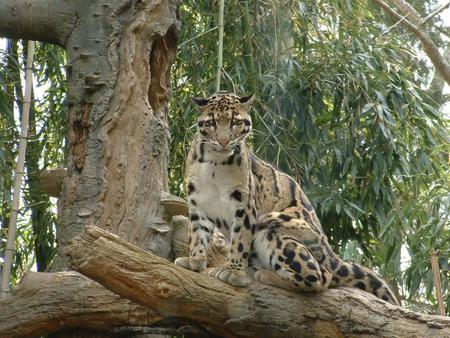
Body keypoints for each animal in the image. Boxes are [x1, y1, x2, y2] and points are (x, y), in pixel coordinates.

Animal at [174, 91, 400, 304]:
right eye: (211, 122)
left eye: (235, 122)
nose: (223, 141)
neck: (215, 162)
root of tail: (333, 258)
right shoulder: (198, 202)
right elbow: (197, 234)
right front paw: (195, 260)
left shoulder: (245, 206)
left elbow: (240, 240)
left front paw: (233, 271)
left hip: (274, 226)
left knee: (319, 278)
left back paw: (265, 274)